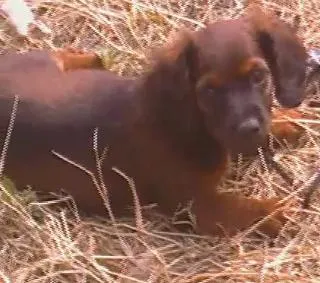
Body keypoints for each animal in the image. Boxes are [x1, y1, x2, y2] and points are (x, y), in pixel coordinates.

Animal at [0, 8, 308, 237]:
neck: (193, 124)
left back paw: (87, 58)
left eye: (258, 76)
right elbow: (243, 208)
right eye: (209, 91)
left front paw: (283, 124)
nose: (248, 129)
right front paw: (277, 211)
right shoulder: (196, 206)